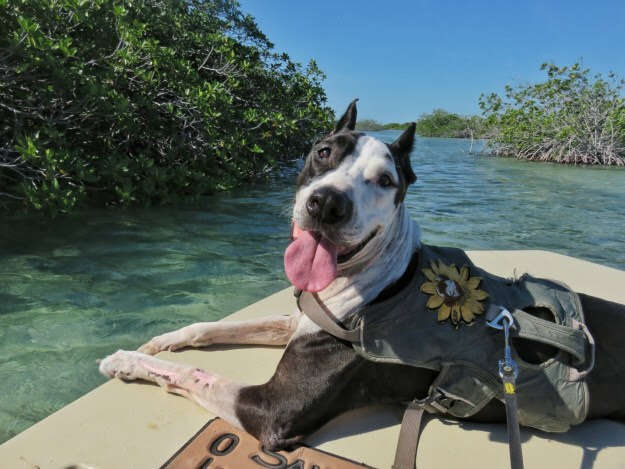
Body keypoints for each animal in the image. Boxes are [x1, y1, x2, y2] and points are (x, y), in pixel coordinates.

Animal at [100, 98, 624, 454]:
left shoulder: (274, 410)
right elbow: (212, 327)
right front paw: (161, 340)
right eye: (323, 152)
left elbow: (193, 374)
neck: (379, 280)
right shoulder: (299, 320)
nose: (327, 203)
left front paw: (125, 360)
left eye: (386, 180)